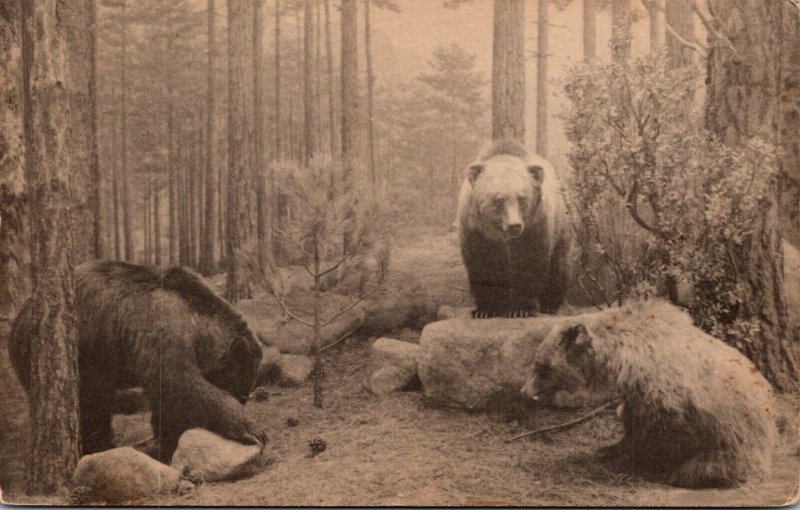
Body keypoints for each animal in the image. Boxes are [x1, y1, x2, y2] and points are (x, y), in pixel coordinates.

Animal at [8, 260, 266, 464]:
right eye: (238, 384)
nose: (243, 399)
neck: (197, 324)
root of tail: (20, 317)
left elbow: (167, 401)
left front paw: (162, 442)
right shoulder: (162, 326)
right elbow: (177, 384)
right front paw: (252, 429)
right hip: (75, 352)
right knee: (91, 403)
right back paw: (98, 445)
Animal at [456, 137, 568, 316]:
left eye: (522, 198)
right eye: (498, 199)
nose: (514, 225)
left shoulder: (534, 226)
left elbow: (528, 262)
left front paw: (521, 309)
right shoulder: (475, 229)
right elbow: (482, 263)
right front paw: (485, 310)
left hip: (561, 225)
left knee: (558, 263)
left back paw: (550, 304)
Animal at [520, 300, 780, 488]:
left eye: (542, 366)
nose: (525, 392)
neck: (620, 357)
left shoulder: (663, 391)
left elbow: (659, 429)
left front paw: (638, 460)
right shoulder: (634, 390)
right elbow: (630, 419)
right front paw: (611, 449)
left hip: (735, 431)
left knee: (720, 459)